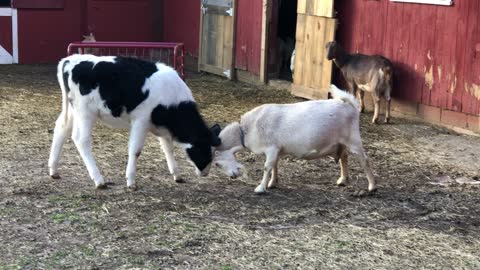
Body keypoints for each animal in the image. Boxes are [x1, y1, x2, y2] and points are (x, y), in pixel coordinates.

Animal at [48, 54, 221, 189]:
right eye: (203, 149)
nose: (205, 172)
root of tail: (70, 59)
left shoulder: (161, 125)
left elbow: (167, 148)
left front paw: (176, 174)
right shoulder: (141, 120)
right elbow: (135, 150)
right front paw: (131, 181)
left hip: (73, 110)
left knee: (61, 128)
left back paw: (53, 170)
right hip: (85, 112)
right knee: (81, 139)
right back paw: (99, 180)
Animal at [213, 85, 376, 193]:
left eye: (216, 164)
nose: (233, 177)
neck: (246, 130)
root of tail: (349, 104)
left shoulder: (271, 148)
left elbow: (267, 167)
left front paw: (260, 188)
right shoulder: (276, 149)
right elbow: (274, 166)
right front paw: (272, 183)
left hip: (353, 139)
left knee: (365, 160)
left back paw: (372, 186)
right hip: (341, 141)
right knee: (344, 156)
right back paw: (342, 180)